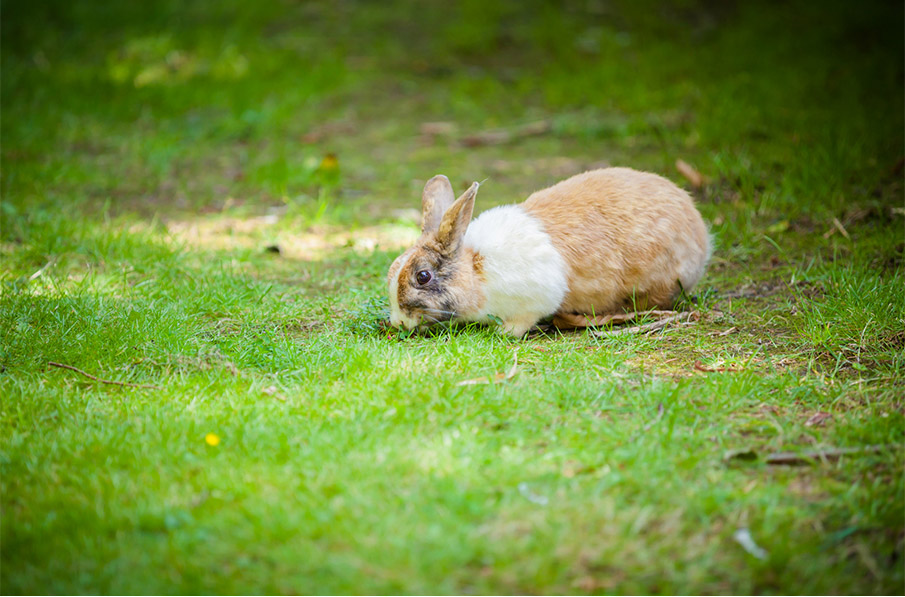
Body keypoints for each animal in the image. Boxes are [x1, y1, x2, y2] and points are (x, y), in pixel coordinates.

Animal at [384, 166, 708, 336]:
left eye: (423, 276)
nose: (397, 322)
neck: (475, 270)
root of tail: (700, 230)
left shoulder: (534, 301)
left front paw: (501, 333)